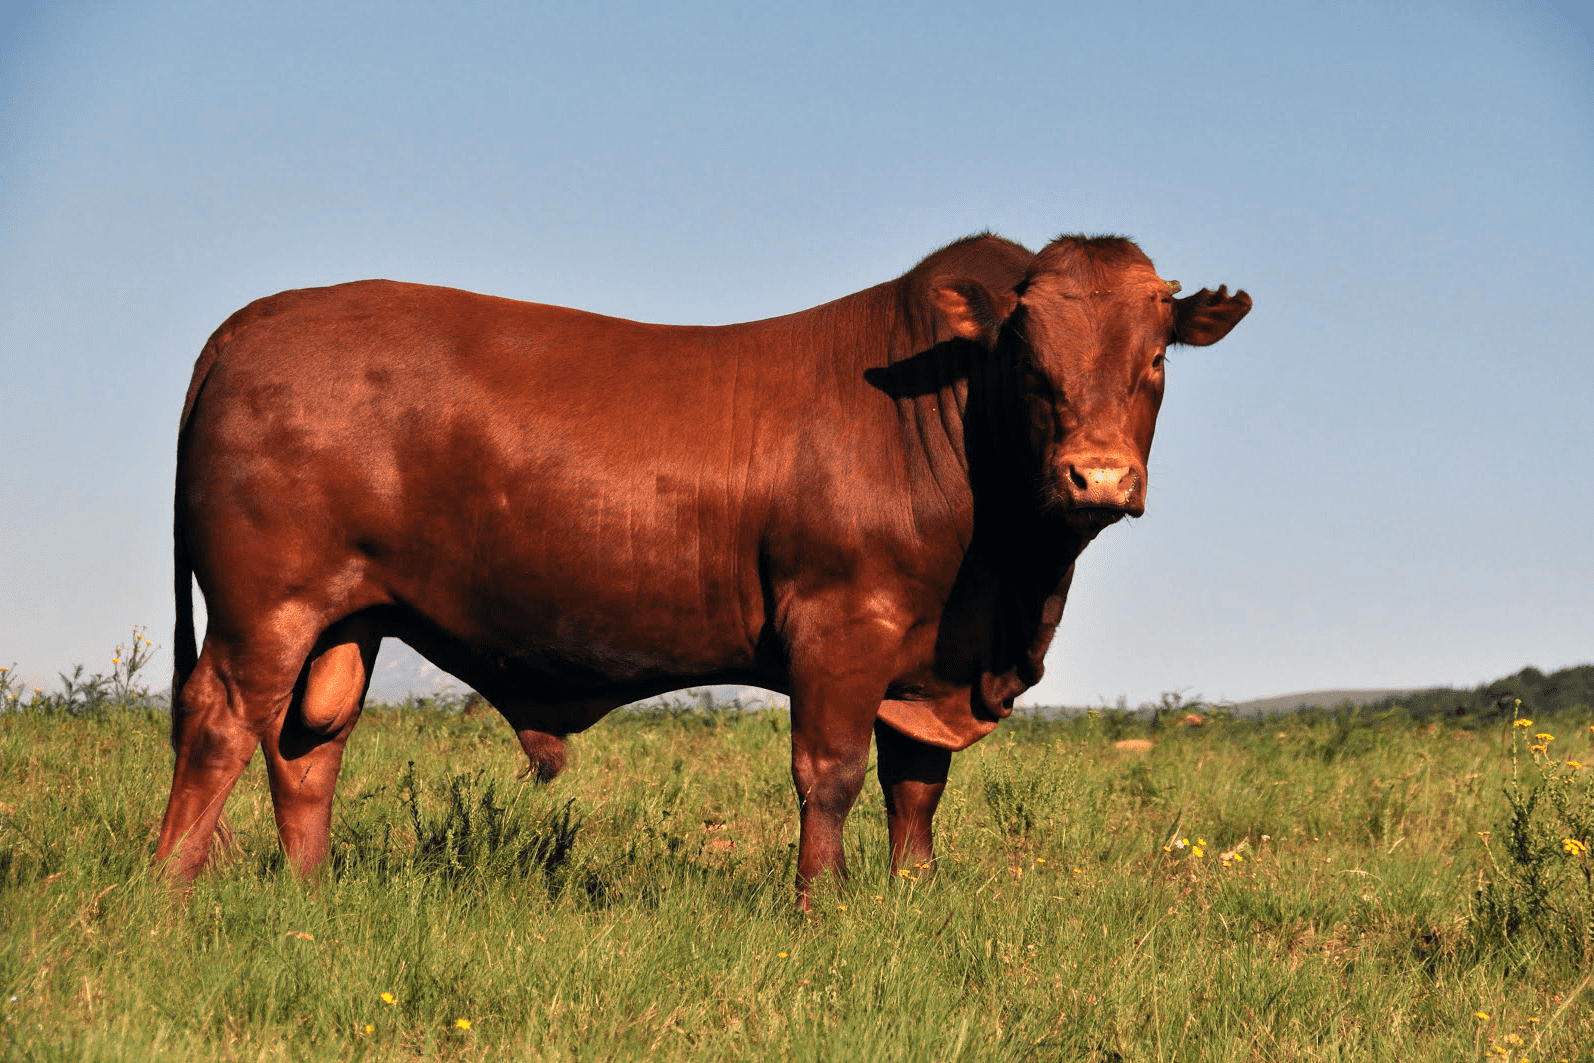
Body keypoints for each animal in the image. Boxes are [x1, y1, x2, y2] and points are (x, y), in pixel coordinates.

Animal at [155, 233, 1250, 903]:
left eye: (1156, 357)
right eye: (1029, 361)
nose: (1097, 475)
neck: (1006, 584)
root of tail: (254, 322)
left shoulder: (927, 660)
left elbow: (916, 787)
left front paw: (912, 900)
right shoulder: (842, 625)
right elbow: (831, 773)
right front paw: (823, 908)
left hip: (348, 615)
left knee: (309, 747)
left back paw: (310, 901)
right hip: (266, 603)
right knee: (219, 724)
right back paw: (169, 896)